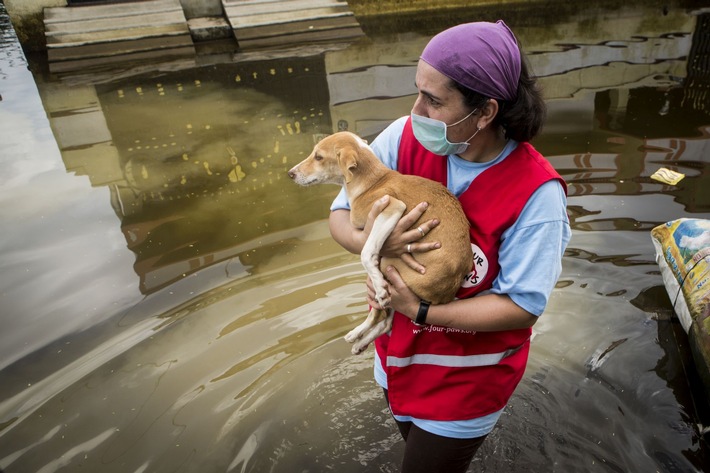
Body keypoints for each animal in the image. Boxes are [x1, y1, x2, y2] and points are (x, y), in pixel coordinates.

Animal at [286, 131, 476, 352]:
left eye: (318, 157)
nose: (290, 173)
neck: (372, 182)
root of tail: (447, 292)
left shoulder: (392, 207)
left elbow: (366, 252)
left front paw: (377, 283)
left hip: (389, 265)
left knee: (381, 311)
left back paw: (362, 325)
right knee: (386, 321)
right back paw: (359, 340)